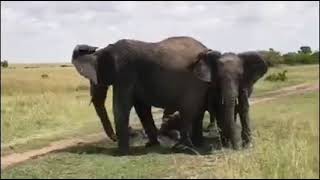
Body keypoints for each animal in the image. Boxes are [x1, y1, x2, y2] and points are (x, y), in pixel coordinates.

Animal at [71, 36, 215, 155]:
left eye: (94, 80)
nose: (114, 139)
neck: (105, 50)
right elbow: (142, 109)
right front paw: (151, 145)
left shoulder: (125, 72)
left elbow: (121, 107)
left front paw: (121, 153)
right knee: (197, 113)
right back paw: (197, 144)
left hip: (195, 81)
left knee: (188, 110)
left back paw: (184, 147)